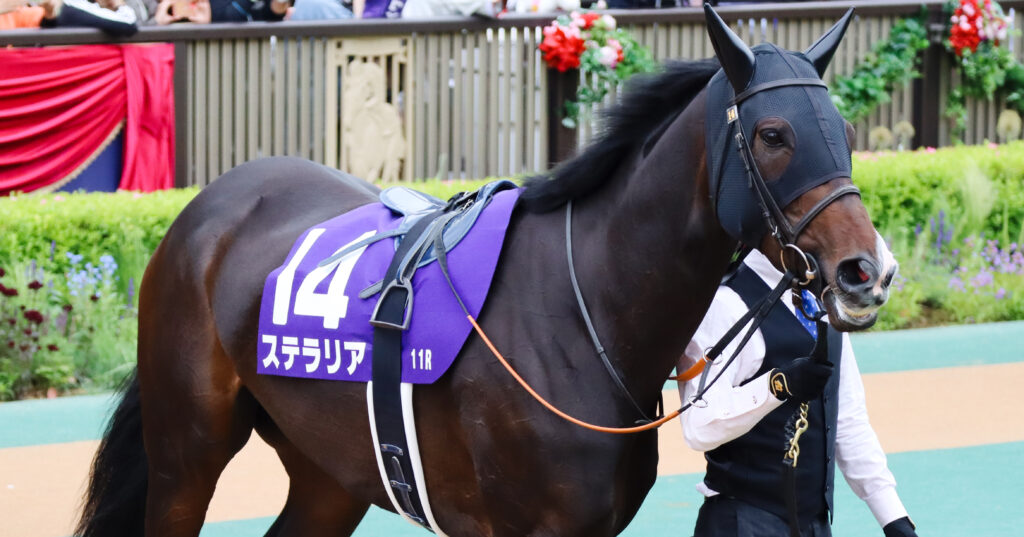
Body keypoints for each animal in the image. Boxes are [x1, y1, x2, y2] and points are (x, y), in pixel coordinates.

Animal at [77, 6, 896, 537]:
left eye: (843, 130)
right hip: (187, 454)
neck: (583, 313)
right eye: (774, 134)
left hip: (328, 469)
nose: (867, 271)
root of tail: (209, 206)